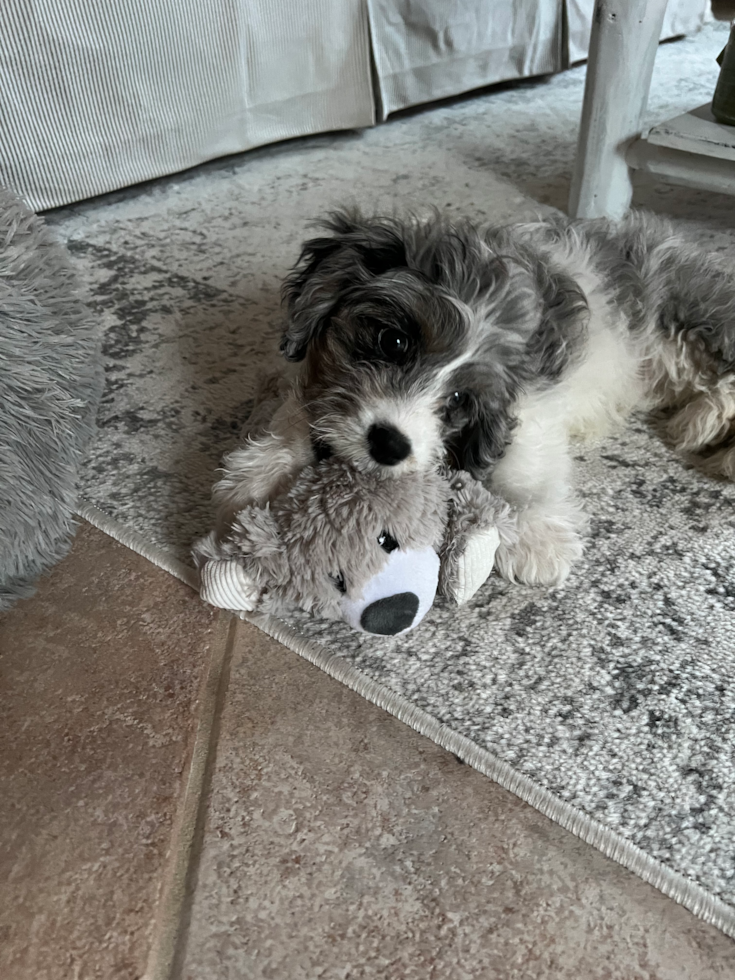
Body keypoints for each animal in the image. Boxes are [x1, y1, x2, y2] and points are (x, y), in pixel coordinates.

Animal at [216, 210, 735, 584]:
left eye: (459, 399)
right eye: (394, 341)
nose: (389, 446)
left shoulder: (530, 401)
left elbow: (522, 462)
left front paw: (534, 536)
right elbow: (301, 404)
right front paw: (261, 471)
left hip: (701, 320)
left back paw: (707, 428)